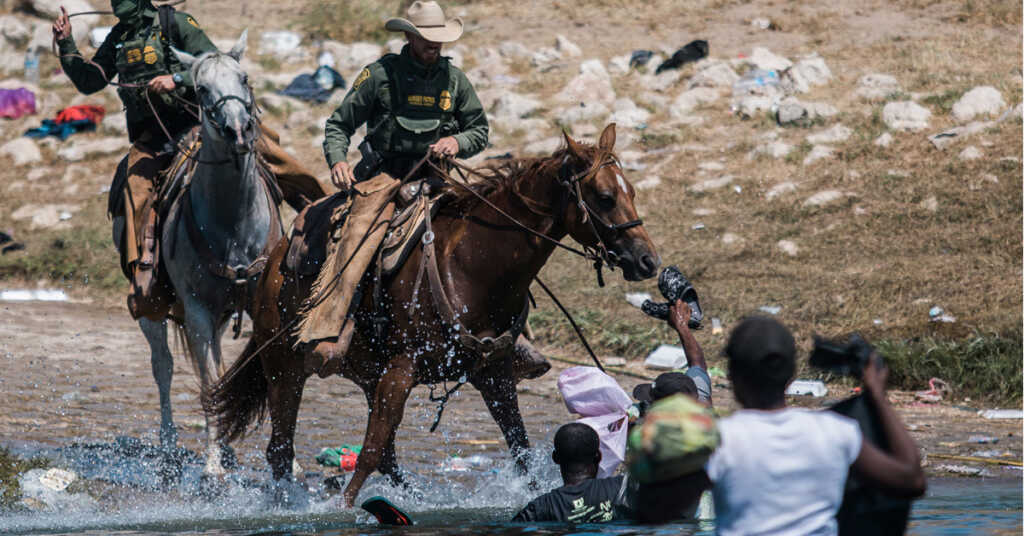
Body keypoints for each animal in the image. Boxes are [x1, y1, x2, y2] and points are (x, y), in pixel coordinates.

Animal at [205, 124, 663, 506]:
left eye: (632, 193)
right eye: (605, 197)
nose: (648, 261)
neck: (472, 266)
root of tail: (274, 261)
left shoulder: (493, 374)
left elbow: (520, 448)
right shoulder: (402, 370)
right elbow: (370, 450)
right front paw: (344, 508)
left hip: (366, 373)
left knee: (384, 455)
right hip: (284, 366)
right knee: (281, 449)